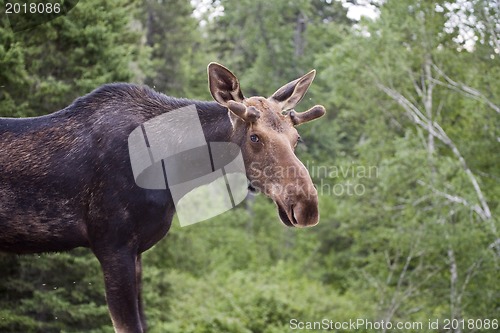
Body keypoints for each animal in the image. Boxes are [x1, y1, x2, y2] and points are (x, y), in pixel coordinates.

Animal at [0, 63, 326, 330]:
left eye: (296, 139)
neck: (172, 170)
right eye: (255, 137)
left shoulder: (136, 251)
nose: (306, 205)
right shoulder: (112, 244)